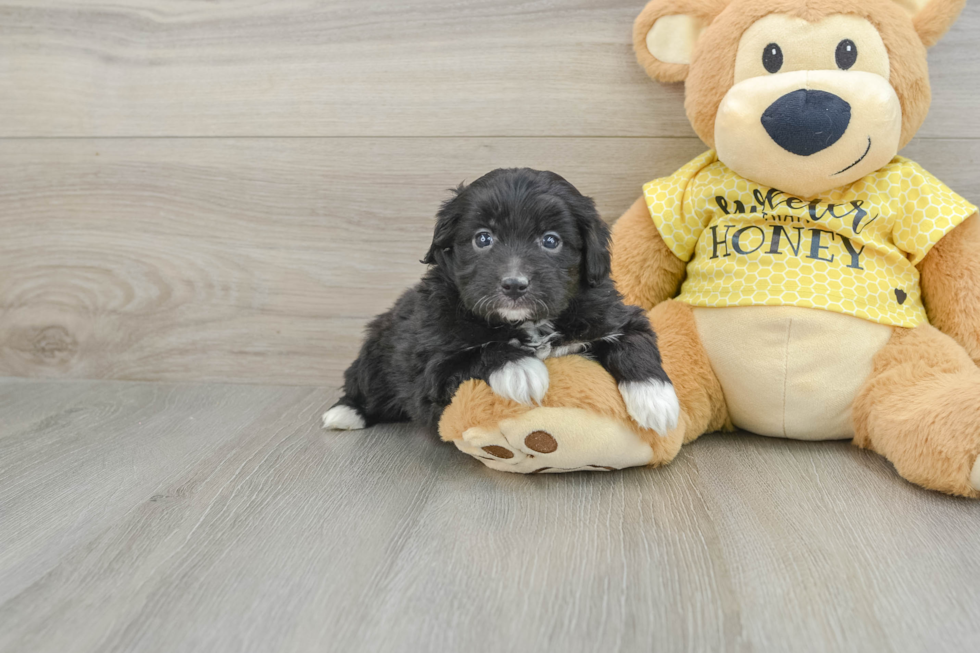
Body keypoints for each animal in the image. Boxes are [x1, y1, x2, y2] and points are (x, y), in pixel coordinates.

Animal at [326, 168, 676, 436]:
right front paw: (520, 368)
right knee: (361, 383)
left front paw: (657, 400)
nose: (514, 284)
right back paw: (345, 414)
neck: (527, 322)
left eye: (551, 241)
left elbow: (633, 341)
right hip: (376, 353)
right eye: (483, 238)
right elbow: (477, 351)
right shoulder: (431, 364)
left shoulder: (613, 316)